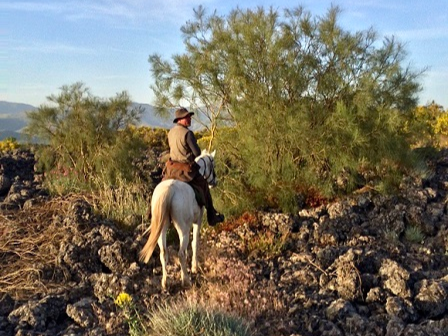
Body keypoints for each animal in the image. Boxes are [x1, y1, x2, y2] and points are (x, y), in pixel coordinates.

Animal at [139, 148, 218, 290]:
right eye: (213, 164)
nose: (215, 182)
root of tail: (169, 190)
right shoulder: (198, 221)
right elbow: (195, 243)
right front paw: (194, 267)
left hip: (162, 228)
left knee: (163, 253)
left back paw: (165, 283)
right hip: (183, 230)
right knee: (181, 253)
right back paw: (185, 280)